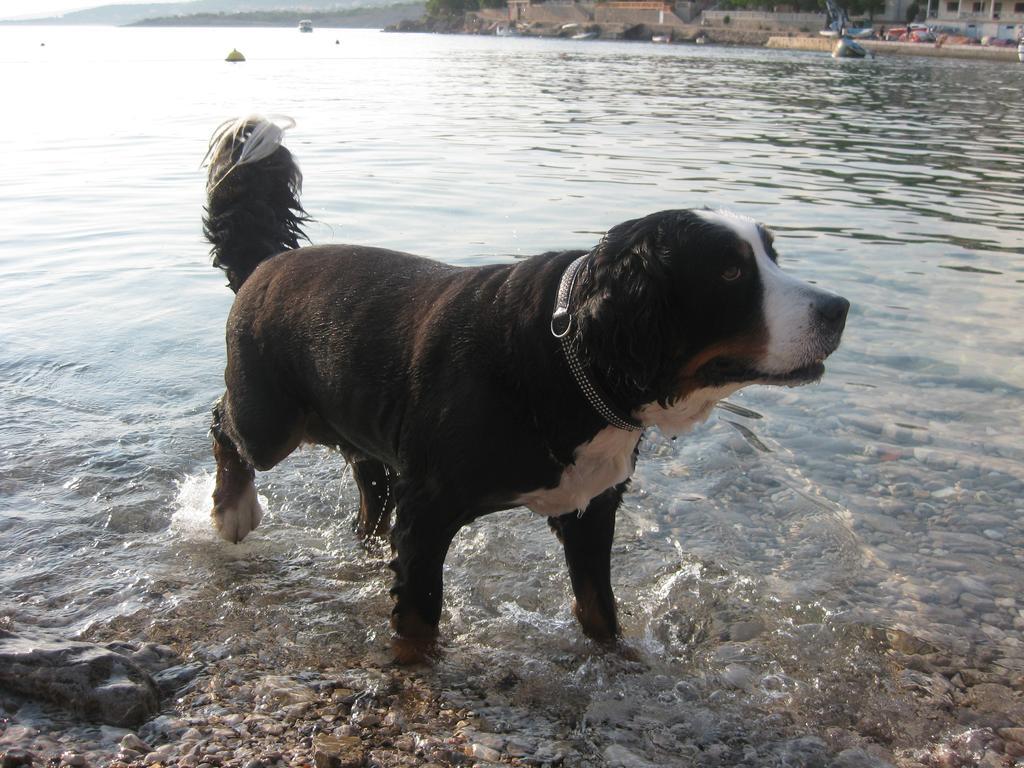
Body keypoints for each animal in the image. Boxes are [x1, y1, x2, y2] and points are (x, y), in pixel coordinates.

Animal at [201, 115, 847, 663]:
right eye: (732, 272)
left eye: (770, 255)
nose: (840, 308)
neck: (562, 357)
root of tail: (268, 263)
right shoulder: (427, 509)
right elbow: (420, 622)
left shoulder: (590, 510)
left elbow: (600, 612)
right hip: (271, 422)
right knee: (224, 426)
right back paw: (233, 509)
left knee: (367, 477)